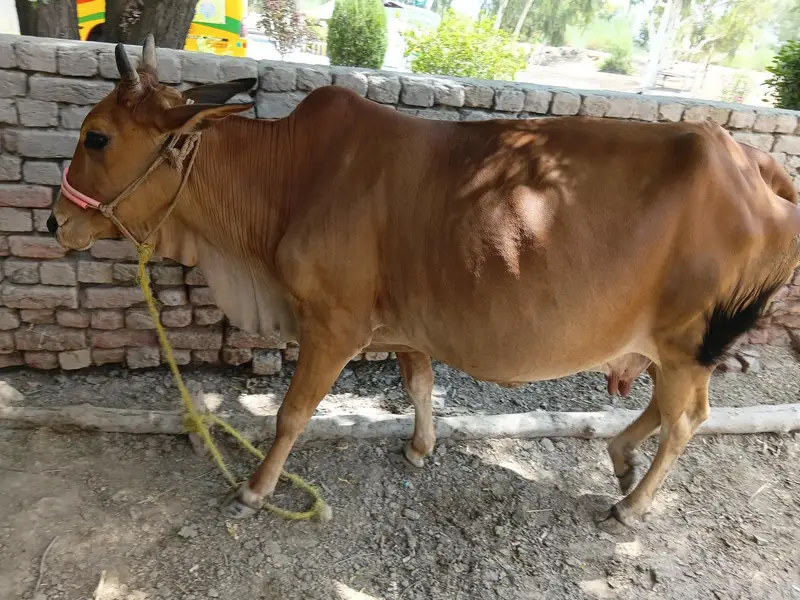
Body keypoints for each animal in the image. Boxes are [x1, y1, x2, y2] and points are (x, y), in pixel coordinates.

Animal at [48, 36, 800, 529]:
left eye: (97, 137)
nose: (56, 221)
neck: (290, 181)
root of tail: (750, 161)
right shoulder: (405, 325)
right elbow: (419, 385)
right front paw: (419, 447)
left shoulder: (333, 325)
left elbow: (293, 413)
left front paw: (257, 489)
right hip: (671, 347)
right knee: (665, 411)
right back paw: (618, 456)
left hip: (689, 343)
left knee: (688, 419)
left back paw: (631, 504)